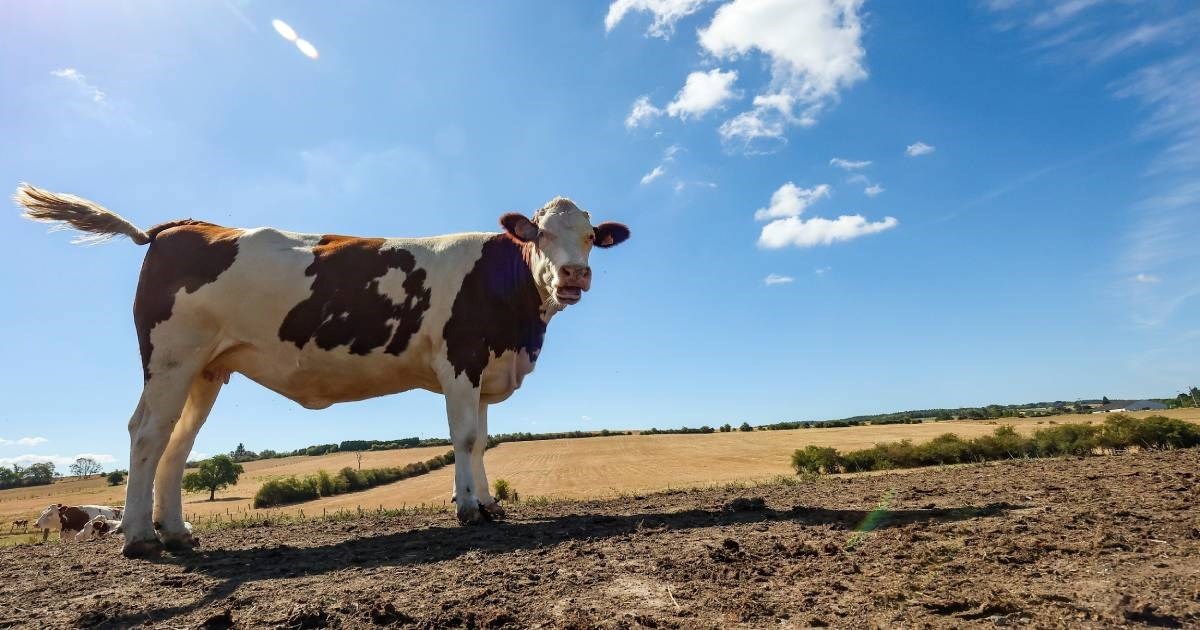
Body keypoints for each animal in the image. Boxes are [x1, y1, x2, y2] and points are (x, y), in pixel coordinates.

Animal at [18, 184, 633, 556]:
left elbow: (482, 439)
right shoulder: (459, 358)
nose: (574, 275)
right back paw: (140, 538)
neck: (517, 325)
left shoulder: (485, 368)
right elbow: (463, 439)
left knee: (176, 441)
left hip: (204, 368)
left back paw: (176, 532)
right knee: (146, 433)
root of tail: (180, 226)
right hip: (171, 358)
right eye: (541, 233)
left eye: (588, 238)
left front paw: (487, 502)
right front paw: (467, 510)